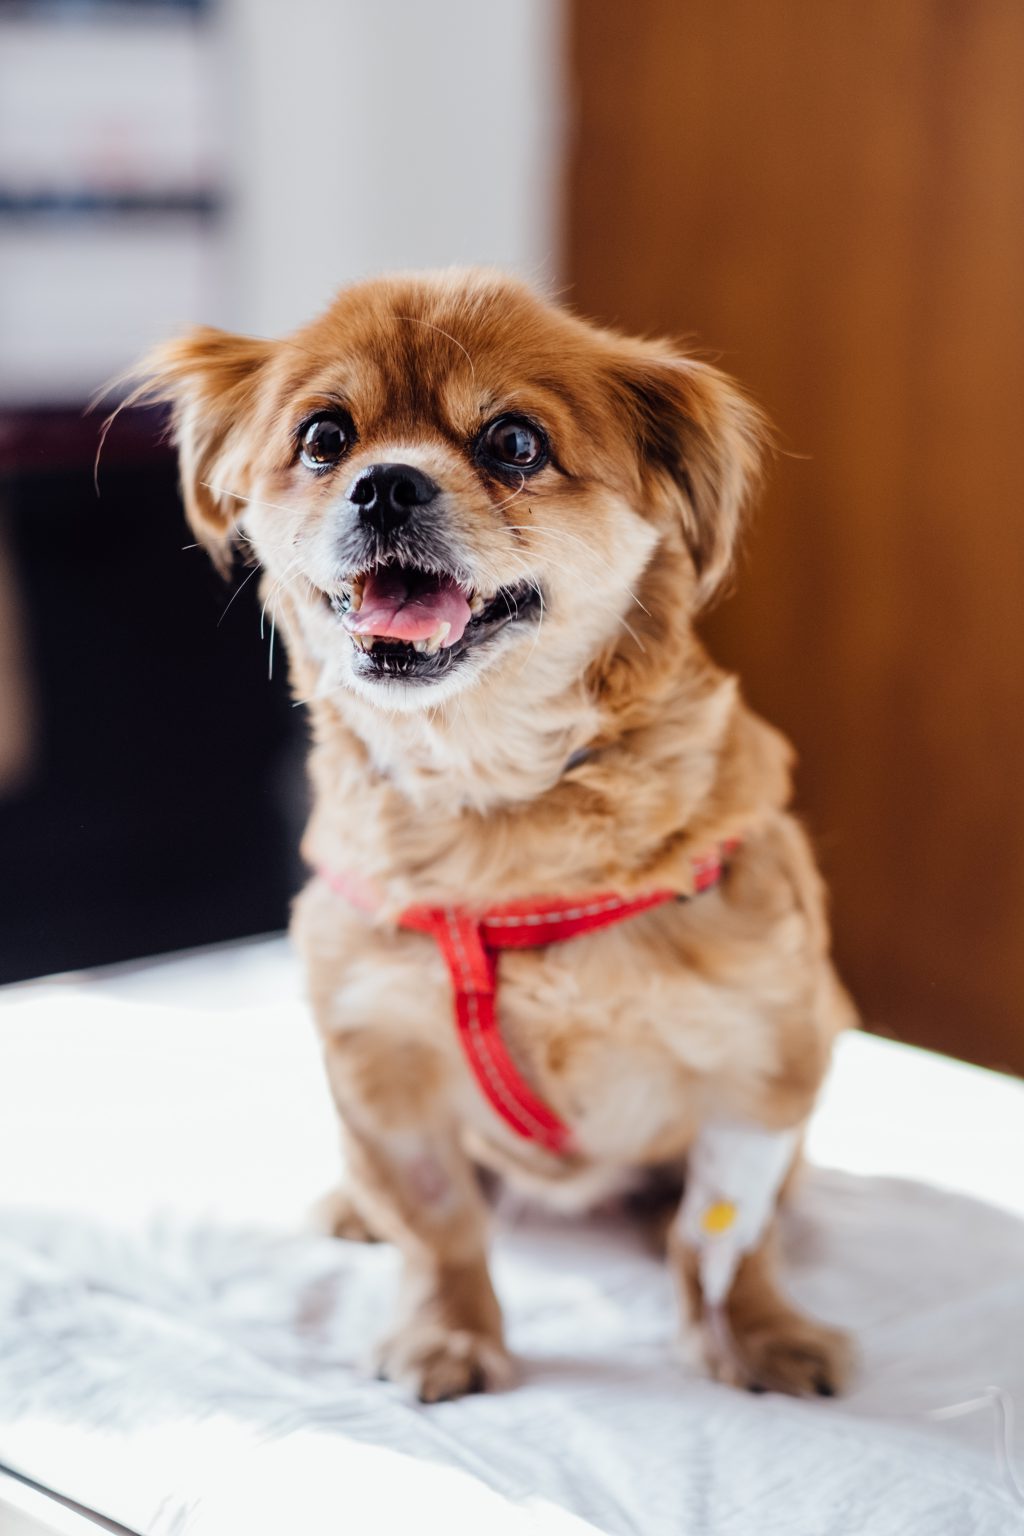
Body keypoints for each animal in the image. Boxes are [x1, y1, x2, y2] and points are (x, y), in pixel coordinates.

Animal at [135, 267, 859, 1406]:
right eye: (323, 438)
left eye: (514, 442)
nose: (385, 484)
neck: (496, 815)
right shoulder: (380, 1060)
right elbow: (437, 1224)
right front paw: (449, 1335)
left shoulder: (765, 1057)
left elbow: (730, 1241)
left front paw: (760, 1336)